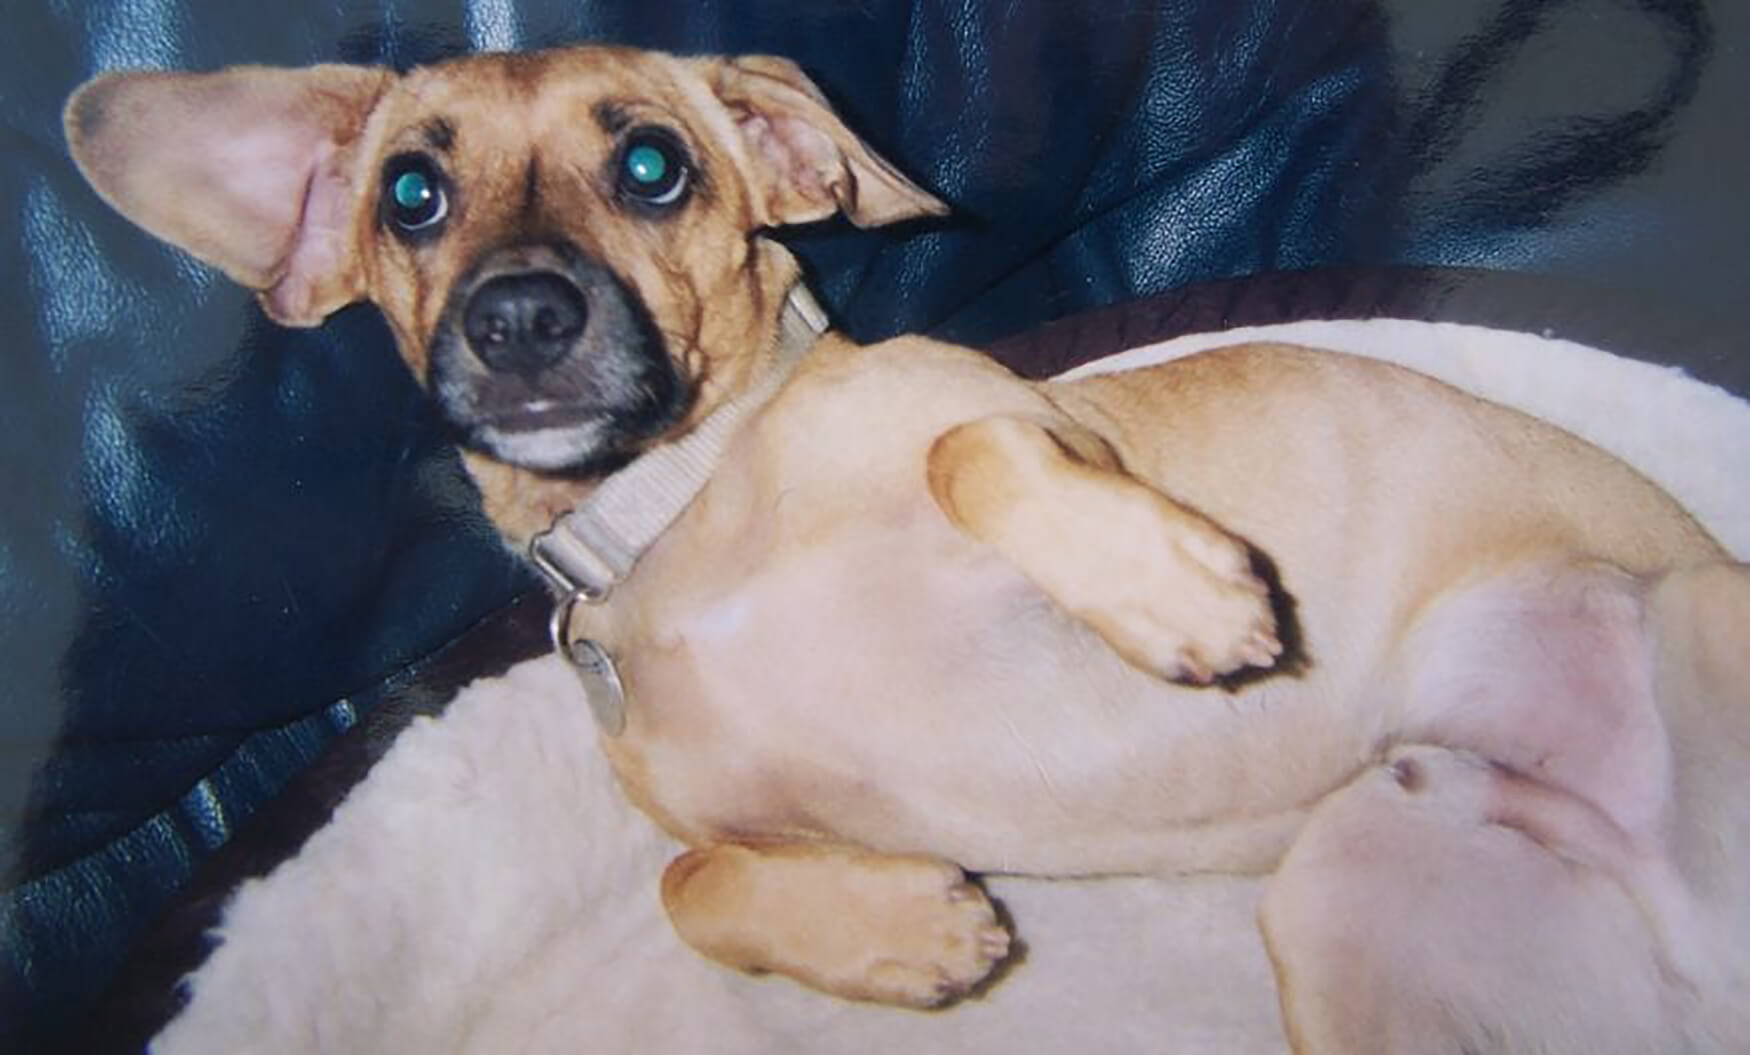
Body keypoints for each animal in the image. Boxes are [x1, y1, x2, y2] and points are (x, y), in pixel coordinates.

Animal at [64, 45, 1750, 1049]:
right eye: (411, 192)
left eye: (654, 165)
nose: (520, 318)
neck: (682, 518)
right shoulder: (723, 822)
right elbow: (691, 876)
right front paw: (900, 928)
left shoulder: (1031, 420)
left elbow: (969, 447)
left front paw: (1176, 597)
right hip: (1350, 904)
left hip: (1699, 618)